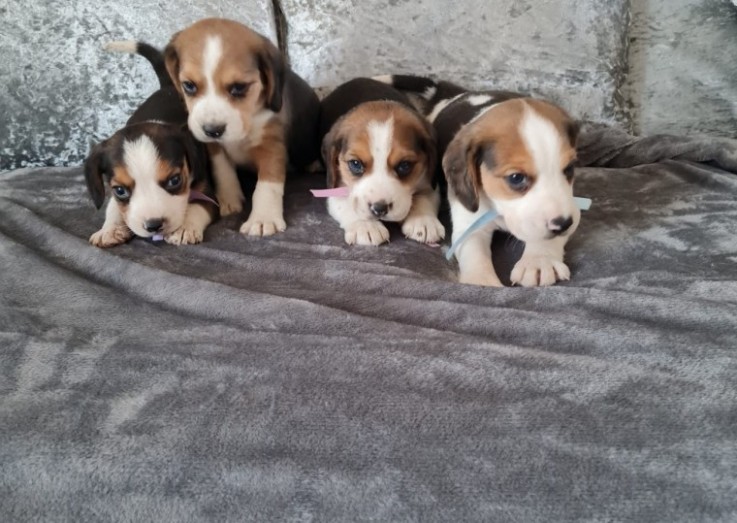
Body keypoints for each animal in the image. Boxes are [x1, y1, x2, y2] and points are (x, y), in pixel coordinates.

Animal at [85, 41, 216, 248]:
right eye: (120, 190)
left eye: (175, 180)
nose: (154, 225)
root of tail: (167, 86)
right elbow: (114, 207)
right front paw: (109, 230)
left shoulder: (208, 192)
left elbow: (197, 206)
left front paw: (183, 228)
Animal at [164, 17, 320, 236]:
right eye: (189, 86)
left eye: (239, 87)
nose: (212, 130)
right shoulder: (214, 147)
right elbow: (223, 171)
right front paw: (229, 199)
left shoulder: (272, 147)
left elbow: (267, 186)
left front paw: (263, 218)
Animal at [318, 78, 442, 248]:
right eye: (355, 164)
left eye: (405, 165)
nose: (379, 209)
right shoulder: (334, 187)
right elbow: (348, 204)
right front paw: (365, 226)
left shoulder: (429, 182)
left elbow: (424, 198)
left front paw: (423, 221)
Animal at [380, 74, 580, 286]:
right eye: (516, 178)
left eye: (569, 169)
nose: (563, 224)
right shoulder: (470, 227)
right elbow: (475, 256)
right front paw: (483, 282)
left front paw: (540, 261)